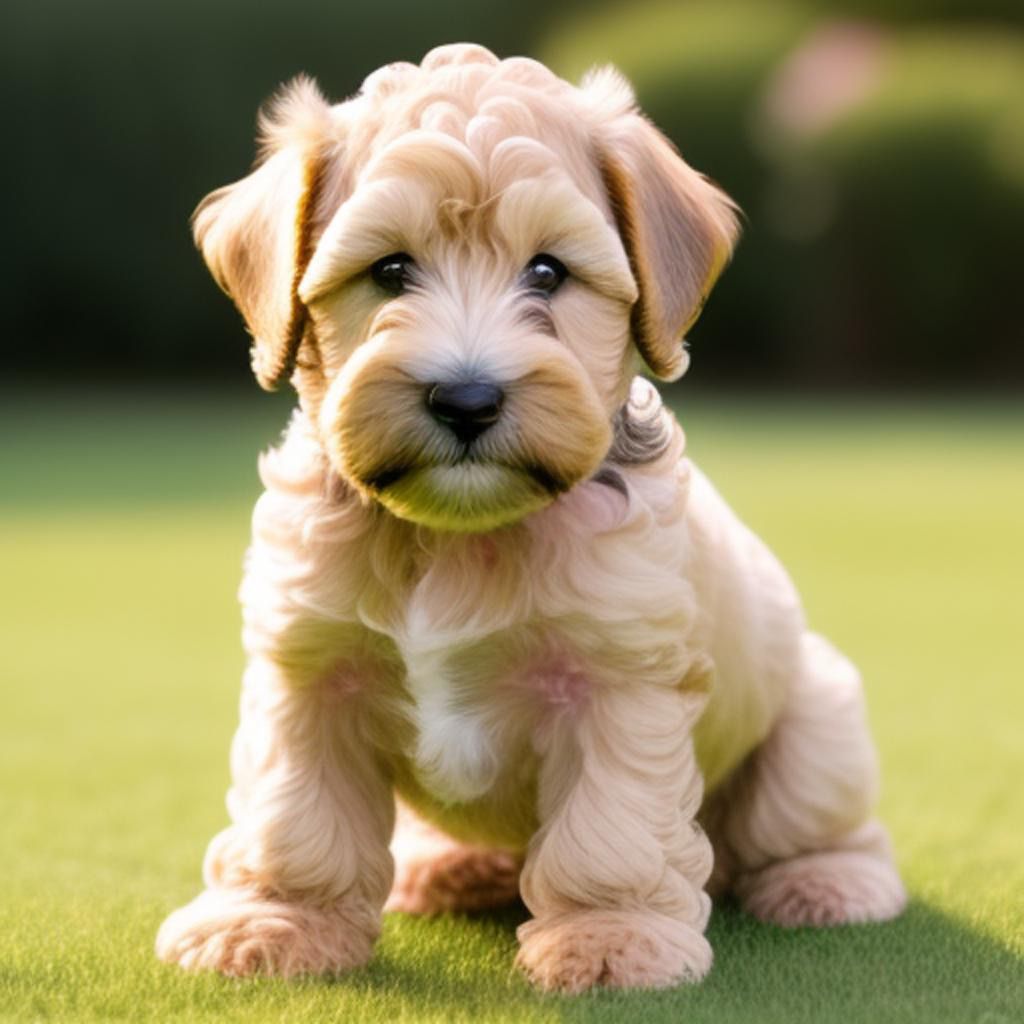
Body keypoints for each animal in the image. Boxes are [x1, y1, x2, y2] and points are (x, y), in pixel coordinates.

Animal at [155, 41, 909, 991]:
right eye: (390, 270)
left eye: (548, 272)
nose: (467, 399)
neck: (453, 534)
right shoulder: (309, 671)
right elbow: (293, 819)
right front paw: (272, 922)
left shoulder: (616, 684)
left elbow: (608, 835)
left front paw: (609, 938)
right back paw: (451, 865)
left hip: (815, 721)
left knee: (813, 825)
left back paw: (828, 883)